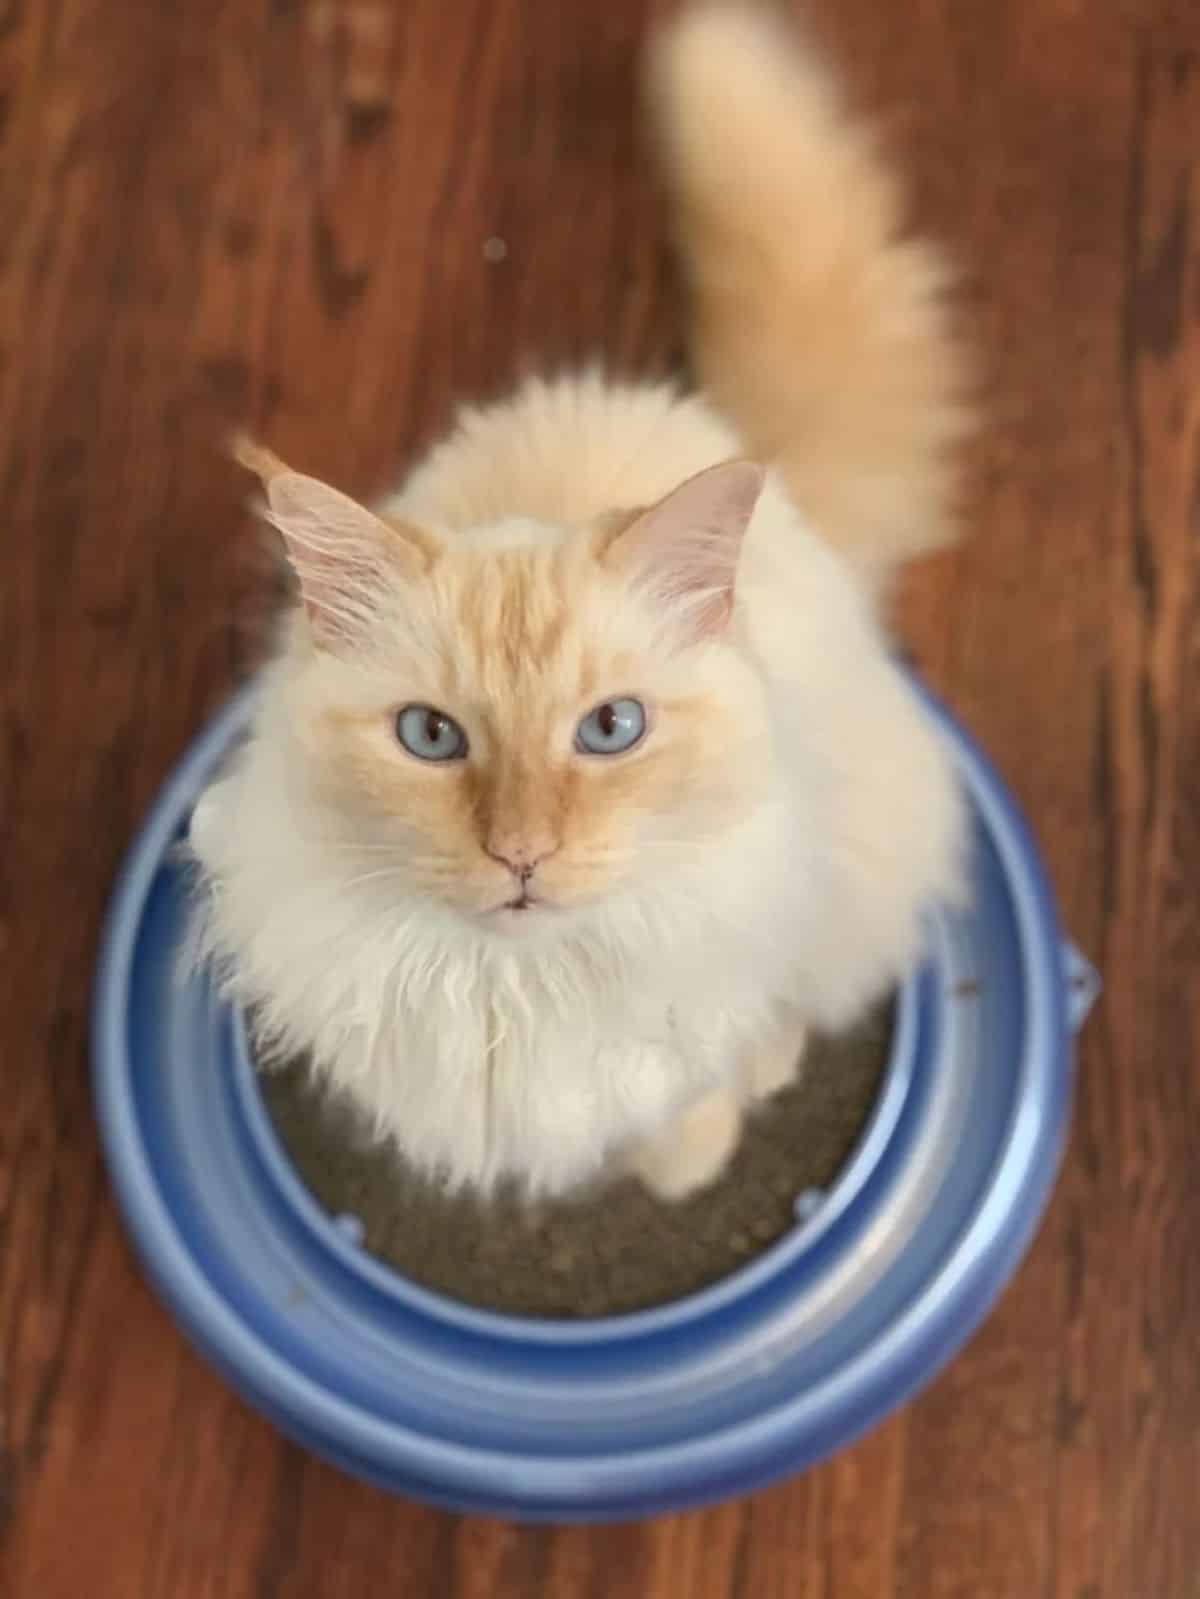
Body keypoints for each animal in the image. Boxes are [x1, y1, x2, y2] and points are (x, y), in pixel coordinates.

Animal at [190, 0, 979, 1202]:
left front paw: (685, 1164)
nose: (522, 856)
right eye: (431, 738)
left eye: (611, 730)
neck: (520, 989)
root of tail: (744, 446)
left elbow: (705, 1077)